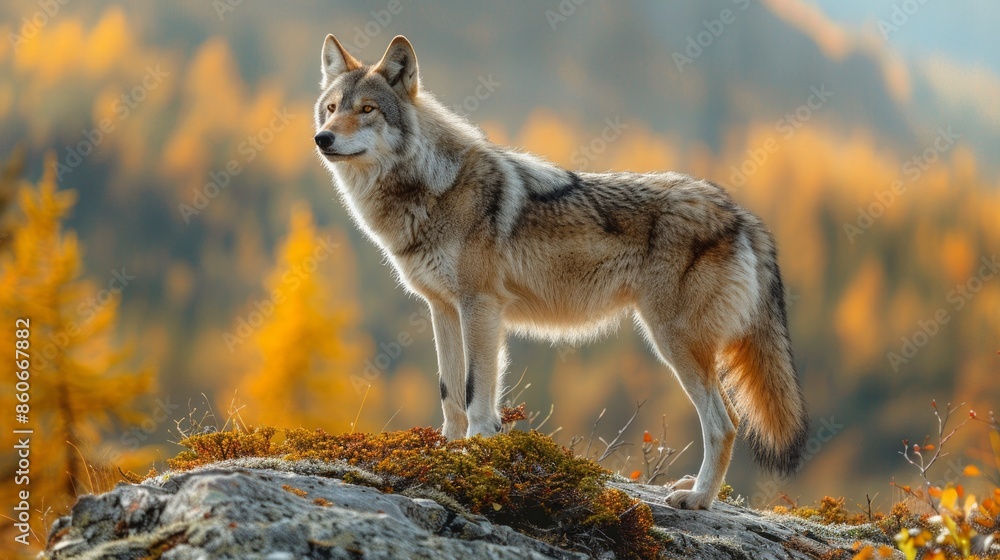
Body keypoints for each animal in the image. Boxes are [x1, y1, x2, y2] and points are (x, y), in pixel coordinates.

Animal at [313, 34, 809, 509]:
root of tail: (741, 214)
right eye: (333, 108)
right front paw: (445, 457)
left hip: (673, 341)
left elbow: (476, 396)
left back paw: (698, 498)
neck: (434, 186)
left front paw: (476, 454)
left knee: (725, 423)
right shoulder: (443, 309)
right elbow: (450, 395)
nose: (322, 138)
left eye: (368, 109)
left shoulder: (480, 307)